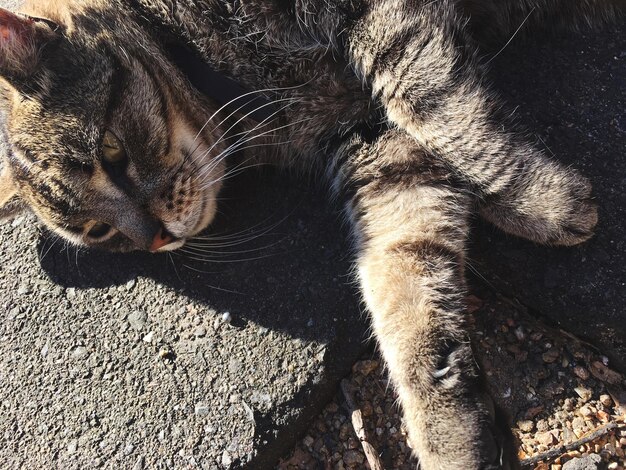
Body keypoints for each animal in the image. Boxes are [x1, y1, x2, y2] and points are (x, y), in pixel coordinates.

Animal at [0, 0, 620, 468]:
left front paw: (540, 201)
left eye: (111, 151)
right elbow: (407, 278)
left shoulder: (379, 26)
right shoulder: (376, 149)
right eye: (99, 229)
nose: (153, 237)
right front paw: (451, 431)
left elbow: (434, 106)